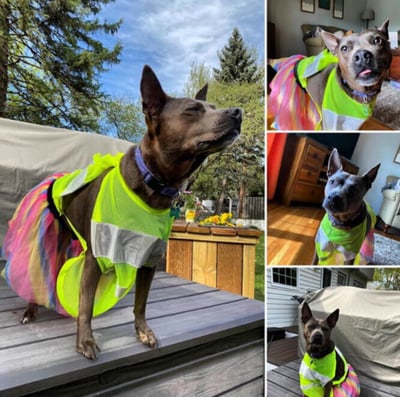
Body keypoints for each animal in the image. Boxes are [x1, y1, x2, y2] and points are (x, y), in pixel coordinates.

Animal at [3, 65, 242, 358]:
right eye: (192, 109)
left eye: (213, 106)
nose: (238, 112)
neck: (154, 182)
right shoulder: (95, 258)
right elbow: (85, 306)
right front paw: (85, 341)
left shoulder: (149, 260)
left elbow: (140, 303)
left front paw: (143, 331)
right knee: (35, 278)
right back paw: (30, 310)